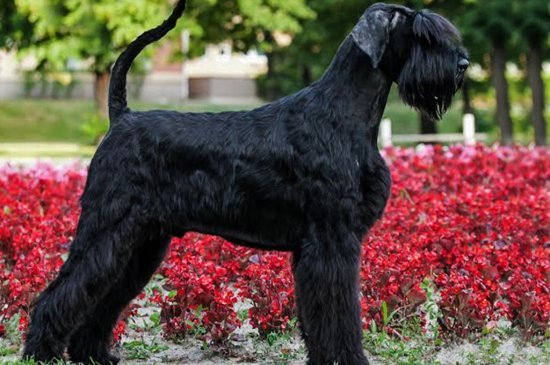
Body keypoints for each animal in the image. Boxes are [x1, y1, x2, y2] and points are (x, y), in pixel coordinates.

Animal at [22, 1, 470, 362]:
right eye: (421, 34)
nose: (463, 64)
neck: (342, 113)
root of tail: (121, 118)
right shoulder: (333, 240)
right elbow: (340, 312)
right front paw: (348, 359)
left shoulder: (314, 250)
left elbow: (316, 317)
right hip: (108, 230)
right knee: (61, 294)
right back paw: (41, 354)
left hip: (140, 243)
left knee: (100, 299)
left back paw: (93, 355)